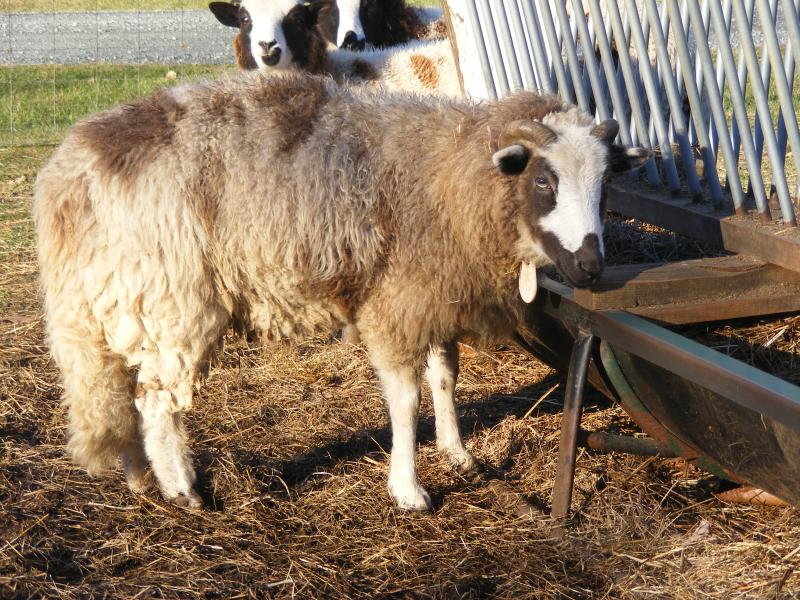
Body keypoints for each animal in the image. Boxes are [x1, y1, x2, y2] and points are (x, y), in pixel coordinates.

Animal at [34, 71, 650, 510]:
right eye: (543, 181)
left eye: (605, 185)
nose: (590, 267)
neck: (453, 173)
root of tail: (69, 173)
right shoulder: (399, 299)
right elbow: (405, 400)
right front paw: (409, 489)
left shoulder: (435, 294)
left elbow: (445, 377)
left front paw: (457, 453)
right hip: (171, 298)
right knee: (157, 400)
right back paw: (184, 490)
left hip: (122, 302)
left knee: (121, 390)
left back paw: (140, 479)